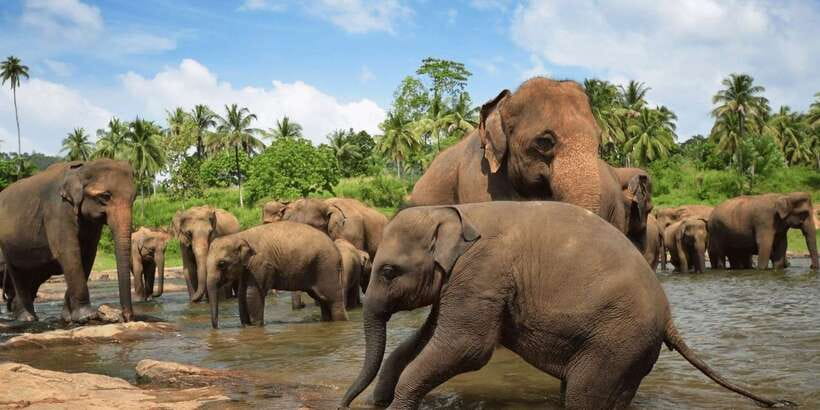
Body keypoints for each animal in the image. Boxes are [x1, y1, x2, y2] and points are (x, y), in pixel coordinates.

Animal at [0, 160, 135, 323]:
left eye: (134, 198)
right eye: (105, 196)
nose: (127, 317)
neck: (82, 168)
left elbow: (87, 255)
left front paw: (67, 317)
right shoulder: (57, 211)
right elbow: (69, 253)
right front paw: (87, 316)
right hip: (6, 245)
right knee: (18, 274)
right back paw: (27, 318)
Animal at [206, 221, 348, 328]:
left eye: (221, 264)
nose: (217, 327)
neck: (240, 235)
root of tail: (337, 251)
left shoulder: (261, 264)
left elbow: (252, 294)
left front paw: (255, 326)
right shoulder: (247, 268)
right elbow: (242, 294)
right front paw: (246, 326)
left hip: (326, 267)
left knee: (332, 299)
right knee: (322, 299)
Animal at [340, 202, 793, 409]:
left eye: (389, 272)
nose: (343, 404)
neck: (457, 212)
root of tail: (668, 318)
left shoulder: (482, 272)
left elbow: (466, 347)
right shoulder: (463, 282)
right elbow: (426, 338)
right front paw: (379, 399)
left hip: (618, 339)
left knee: (583, 394)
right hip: (627, 349)